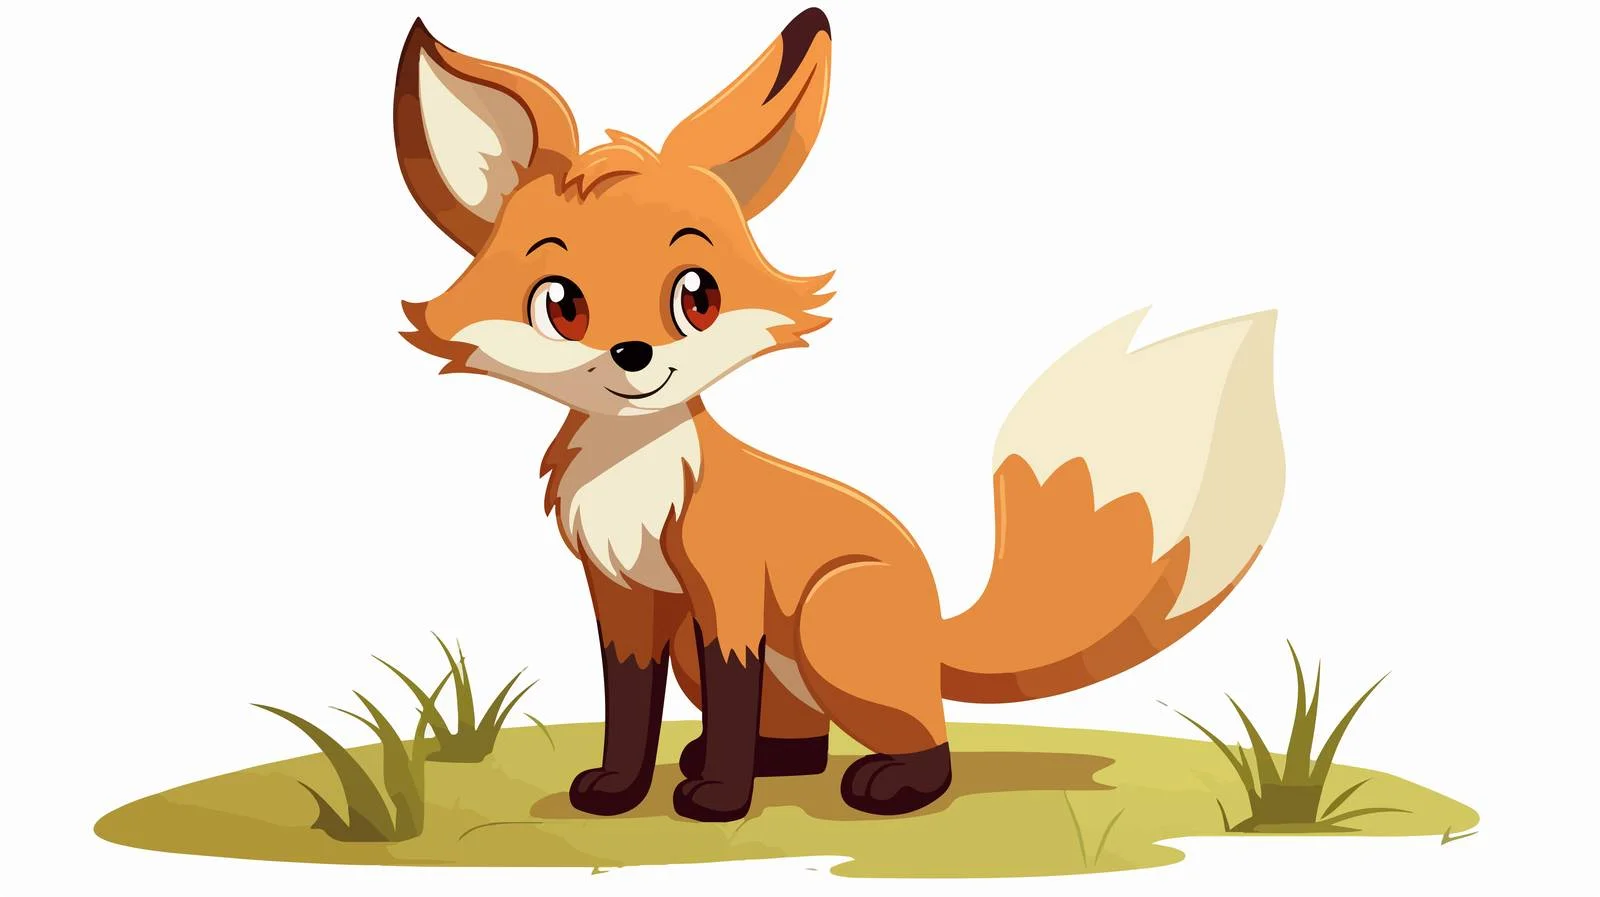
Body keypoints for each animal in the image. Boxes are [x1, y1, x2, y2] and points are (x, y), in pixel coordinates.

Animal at [392, 8, 1285, 822]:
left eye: (696, 296)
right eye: (561, 306)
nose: (634, 355)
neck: (635, 474)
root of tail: (932, 628)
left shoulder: (727, 592)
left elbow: (731, 688)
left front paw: (720, 801)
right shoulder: (627, 599)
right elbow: (628, 703)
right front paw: (618, 791)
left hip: (830, 620)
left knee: (925, 740)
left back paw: (886, 783)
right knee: (804, 742)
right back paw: (752, 758)